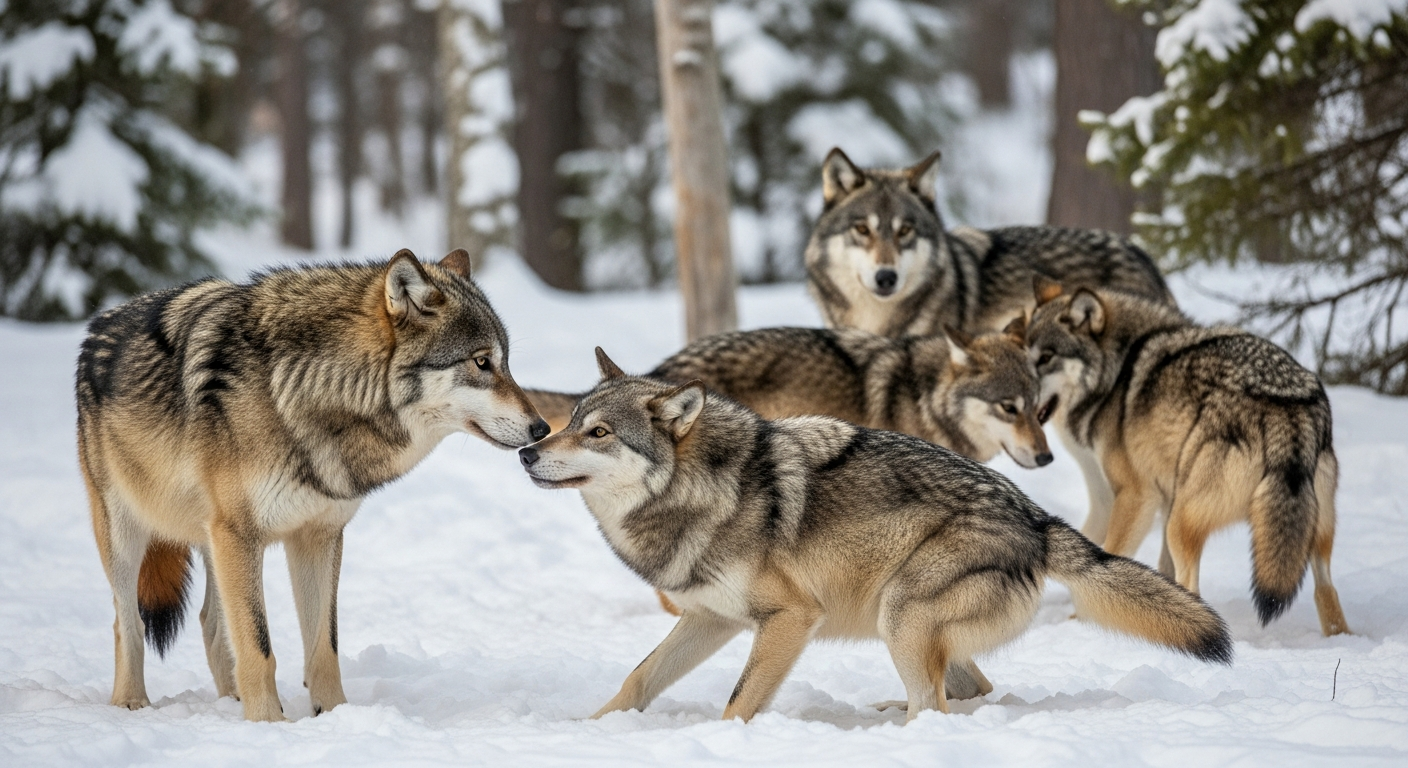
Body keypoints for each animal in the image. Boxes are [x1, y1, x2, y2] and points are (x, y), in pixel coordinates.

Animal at [75, 249, 549, 721]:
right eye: (481, 362)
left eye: (506, 363)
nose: (542, 428)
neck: (304, 390)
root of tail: (102, 321)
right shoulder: (240, 536)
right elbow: (259, 646)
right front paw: (268, 723)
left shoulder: (317, 535)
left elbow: (324, 645)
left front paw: (335, 715)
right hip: (127, 535)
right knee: (127, 622)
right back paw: (131, 701)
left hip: (211, 544)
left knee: (210, 623)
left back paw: (230, 702)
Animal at [518, 348, 1232, 723]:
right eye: (571, 422)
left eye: (598, 433)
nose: (527, 451)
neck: (700, 493)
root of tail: (1037, 517)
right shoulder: (708, 620)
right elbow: (637, 680)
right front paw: (590, 730)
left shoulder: (790, 618)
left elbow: (737, 704)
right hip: (909, 622)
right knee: (969, 690)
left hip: (900, 613)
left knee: (937, 705)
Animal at [1025, 278, 1350, 636]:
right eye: (1025, 356)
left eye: (1046, 358)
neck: (1116, 372)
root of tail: (1286, 410)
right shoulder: (1165, 498)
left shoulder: (1137, 495)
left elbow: (1110, 556)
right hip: (1311, 534)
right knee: (1327, 592)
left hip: (1180, 523)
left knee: (1193, 586)